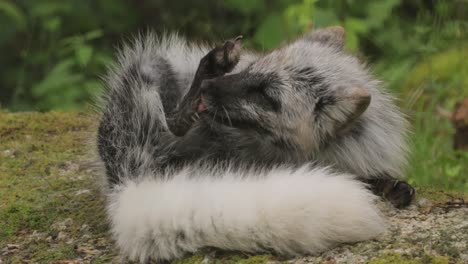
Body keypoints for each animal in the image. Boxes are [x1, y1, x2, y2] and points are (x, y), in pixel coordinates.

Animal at [95, 26, 414, 262]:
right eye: (256, 67)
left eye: (267, 96)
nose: (206, 89)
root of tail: (127, 180)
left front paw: (392, 186)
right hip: (150, 70)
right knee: (172, 123)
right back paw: (209, 69)